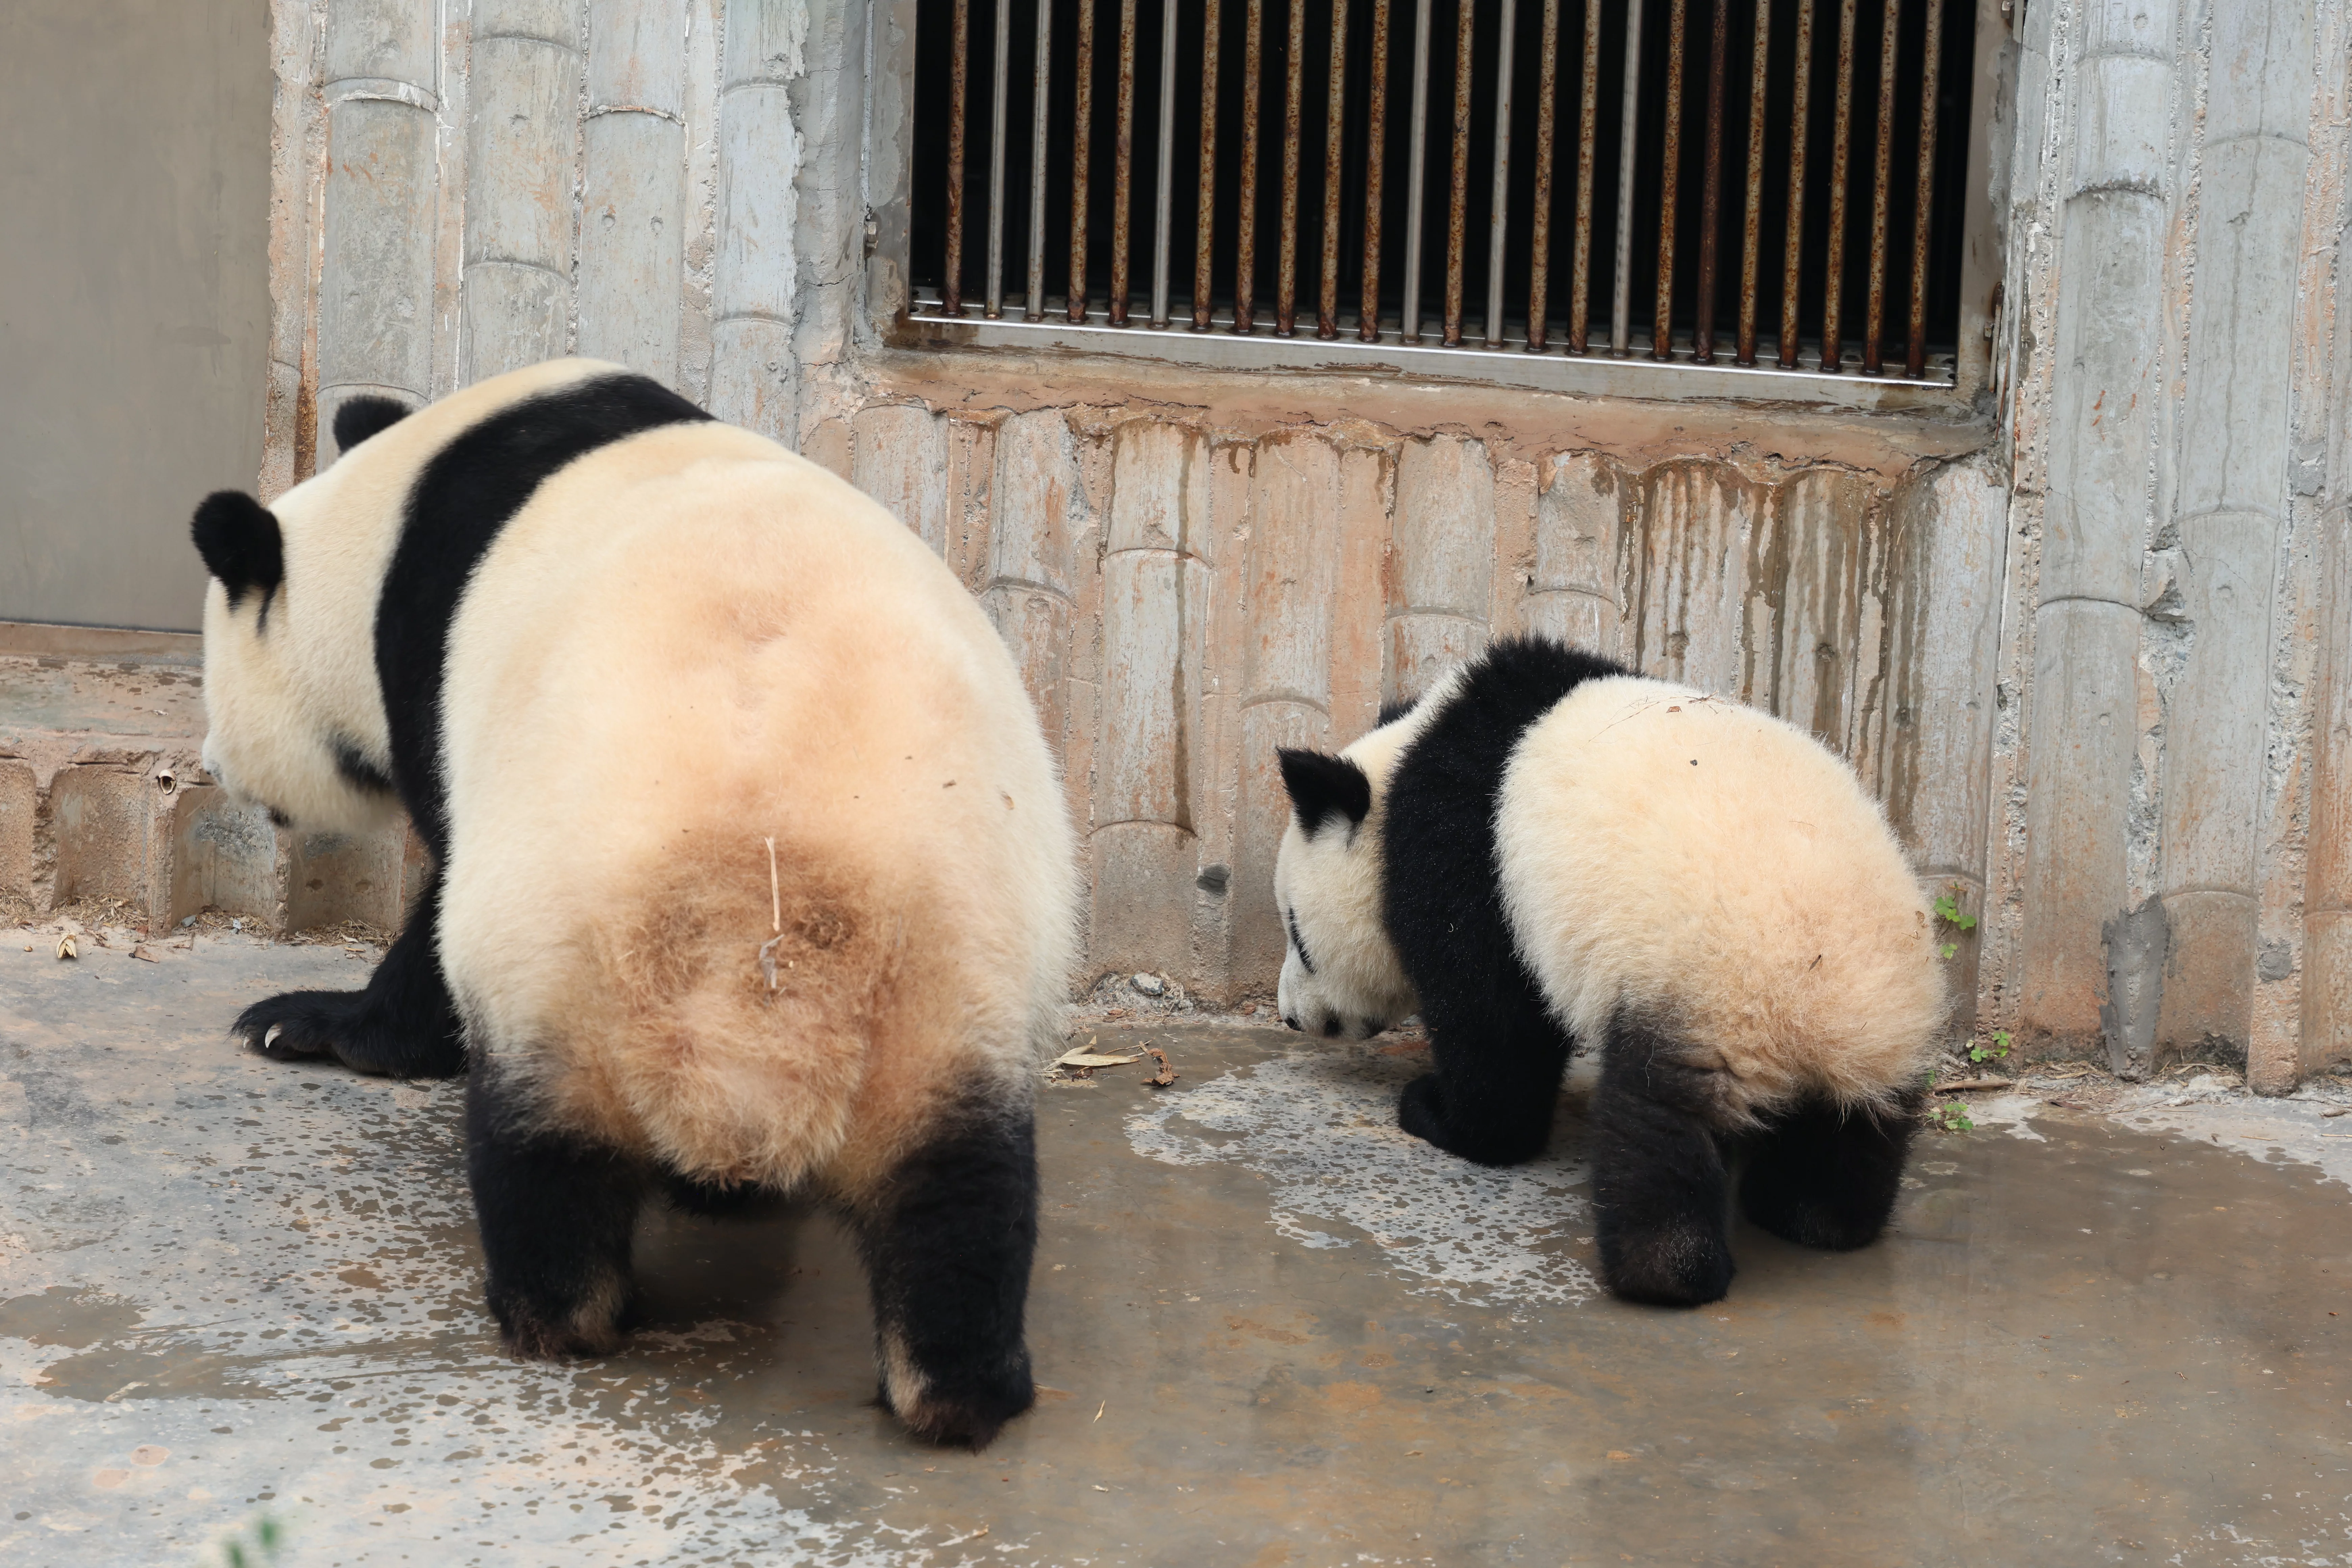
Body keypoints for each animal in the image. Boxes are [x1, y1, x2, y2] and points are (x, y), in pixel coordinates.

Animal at [190, 359, 1077, 1447]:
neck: (388, 515)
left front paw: (309, 1023)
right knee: (961, 1196)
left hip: (560, 962)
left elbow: (432, 911)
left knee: (542, 1158)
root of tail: (761, 954)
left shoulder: (430, 672)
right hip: (949, 979)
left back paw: (553, 1312)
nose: (213, 766)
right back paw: (961, 1387)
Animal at [1270, 635, 1943, 1308]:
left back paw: (1666, 1271)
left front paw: (1439, 1115)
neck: (1401, 768)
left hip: (1706, 993)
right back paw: (1809, 1215)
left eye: (1297, 934)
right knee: (1857, 1134)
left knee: (1657, 1126)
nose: (1291, 1017)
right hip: (1883, 1025)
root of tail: (1818, 1019)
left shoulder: (1471, 865)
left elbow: (1492, 1028)